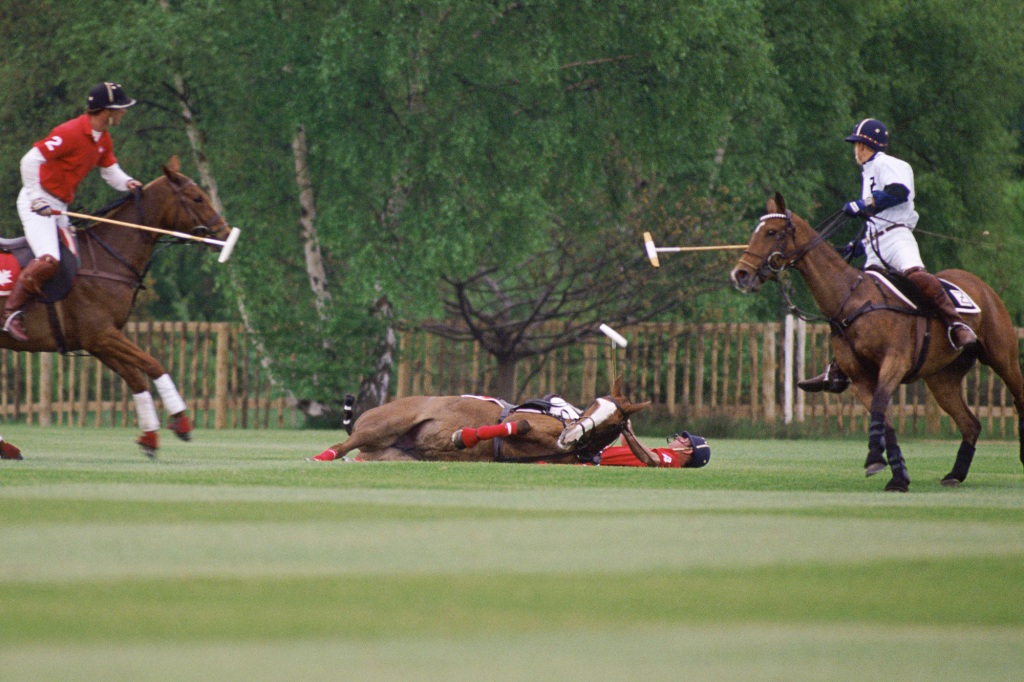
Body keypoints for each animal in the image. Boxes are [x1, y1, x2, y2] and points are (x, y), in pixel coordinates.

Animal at [3, 156, 231, 456]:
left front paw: (150, 438)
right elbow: (153, 364)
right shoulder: (101, 334)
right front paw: (181, 422)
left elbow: (135, 376)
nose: (225, 234)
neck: (106, 259)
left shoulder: (98, 341)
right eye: (197, 198)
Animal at [729, 191, 1024, 489]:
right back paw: (955, 474)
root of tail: (980, 284)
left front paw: (876, 460)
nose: (740, 274)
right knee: (970, 424)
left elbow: (881, 406)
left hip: (1003, 357)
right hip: (942, 378)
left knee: (1017, 397)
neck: (851, 299)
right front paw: (897, 476)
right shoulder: (860, 378)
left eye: (771, 231)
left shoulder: (894, 362)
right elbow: (882, 417)